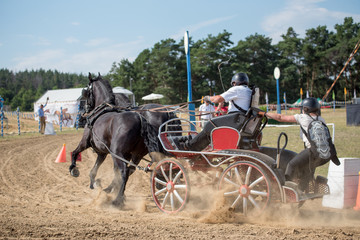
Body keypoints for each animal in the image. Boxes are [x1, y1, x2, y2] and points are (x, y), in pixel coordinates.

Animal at [69, 73, 177, 206]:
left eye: (86, 92)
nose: (82, 115)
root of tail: (140, 118)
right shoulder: (103, 152)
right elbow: (96, 169)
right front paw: (95, 183)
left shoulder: (86, 142)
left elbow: (75, 152)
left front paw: (73, 169)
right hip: (136, 154)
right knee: (131, 170)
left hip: (117, 152)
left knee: (125, 171)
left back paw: (118, 199)